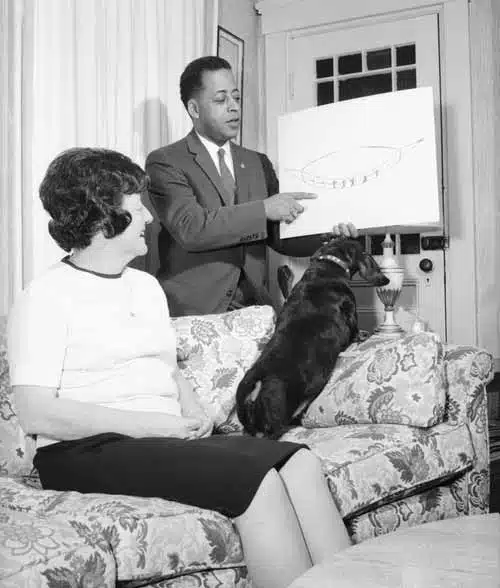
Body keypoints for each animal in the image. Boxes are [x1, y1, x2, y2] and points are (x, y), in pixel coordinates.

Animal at [236, 237, 390, 439]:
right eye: (365, 253)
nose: (386, 280)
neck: (326, 268)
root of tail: (255, 385)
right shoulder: (350, 309)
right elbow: (354, 328)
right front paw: (362, 335)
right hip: (275, 422)